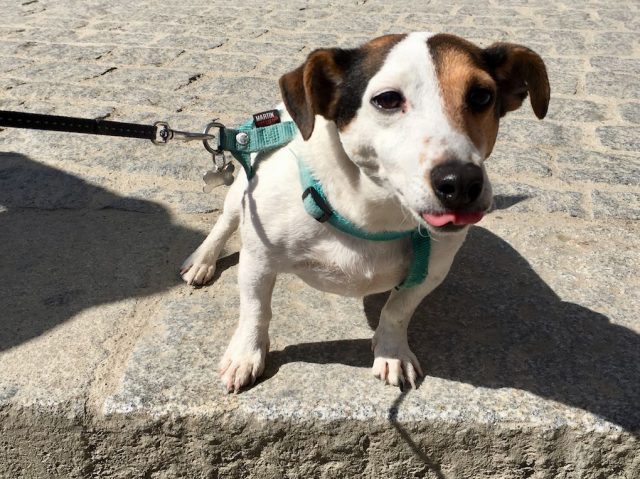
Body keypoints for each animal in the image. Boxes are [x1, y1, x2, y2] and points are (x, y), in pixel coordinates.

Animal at [180, 32, 552, 394]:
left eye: (481, 96)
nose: (461, 182)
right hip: (241, 194)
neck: (368, 214)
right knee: (225, 222)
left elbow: (397, 312)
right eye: (387, 99)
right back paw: (203, 260)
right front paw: (246, 355)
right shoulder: (259, 261)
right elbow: (256, 311)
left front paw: (391, 352)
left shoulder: (429, 273)